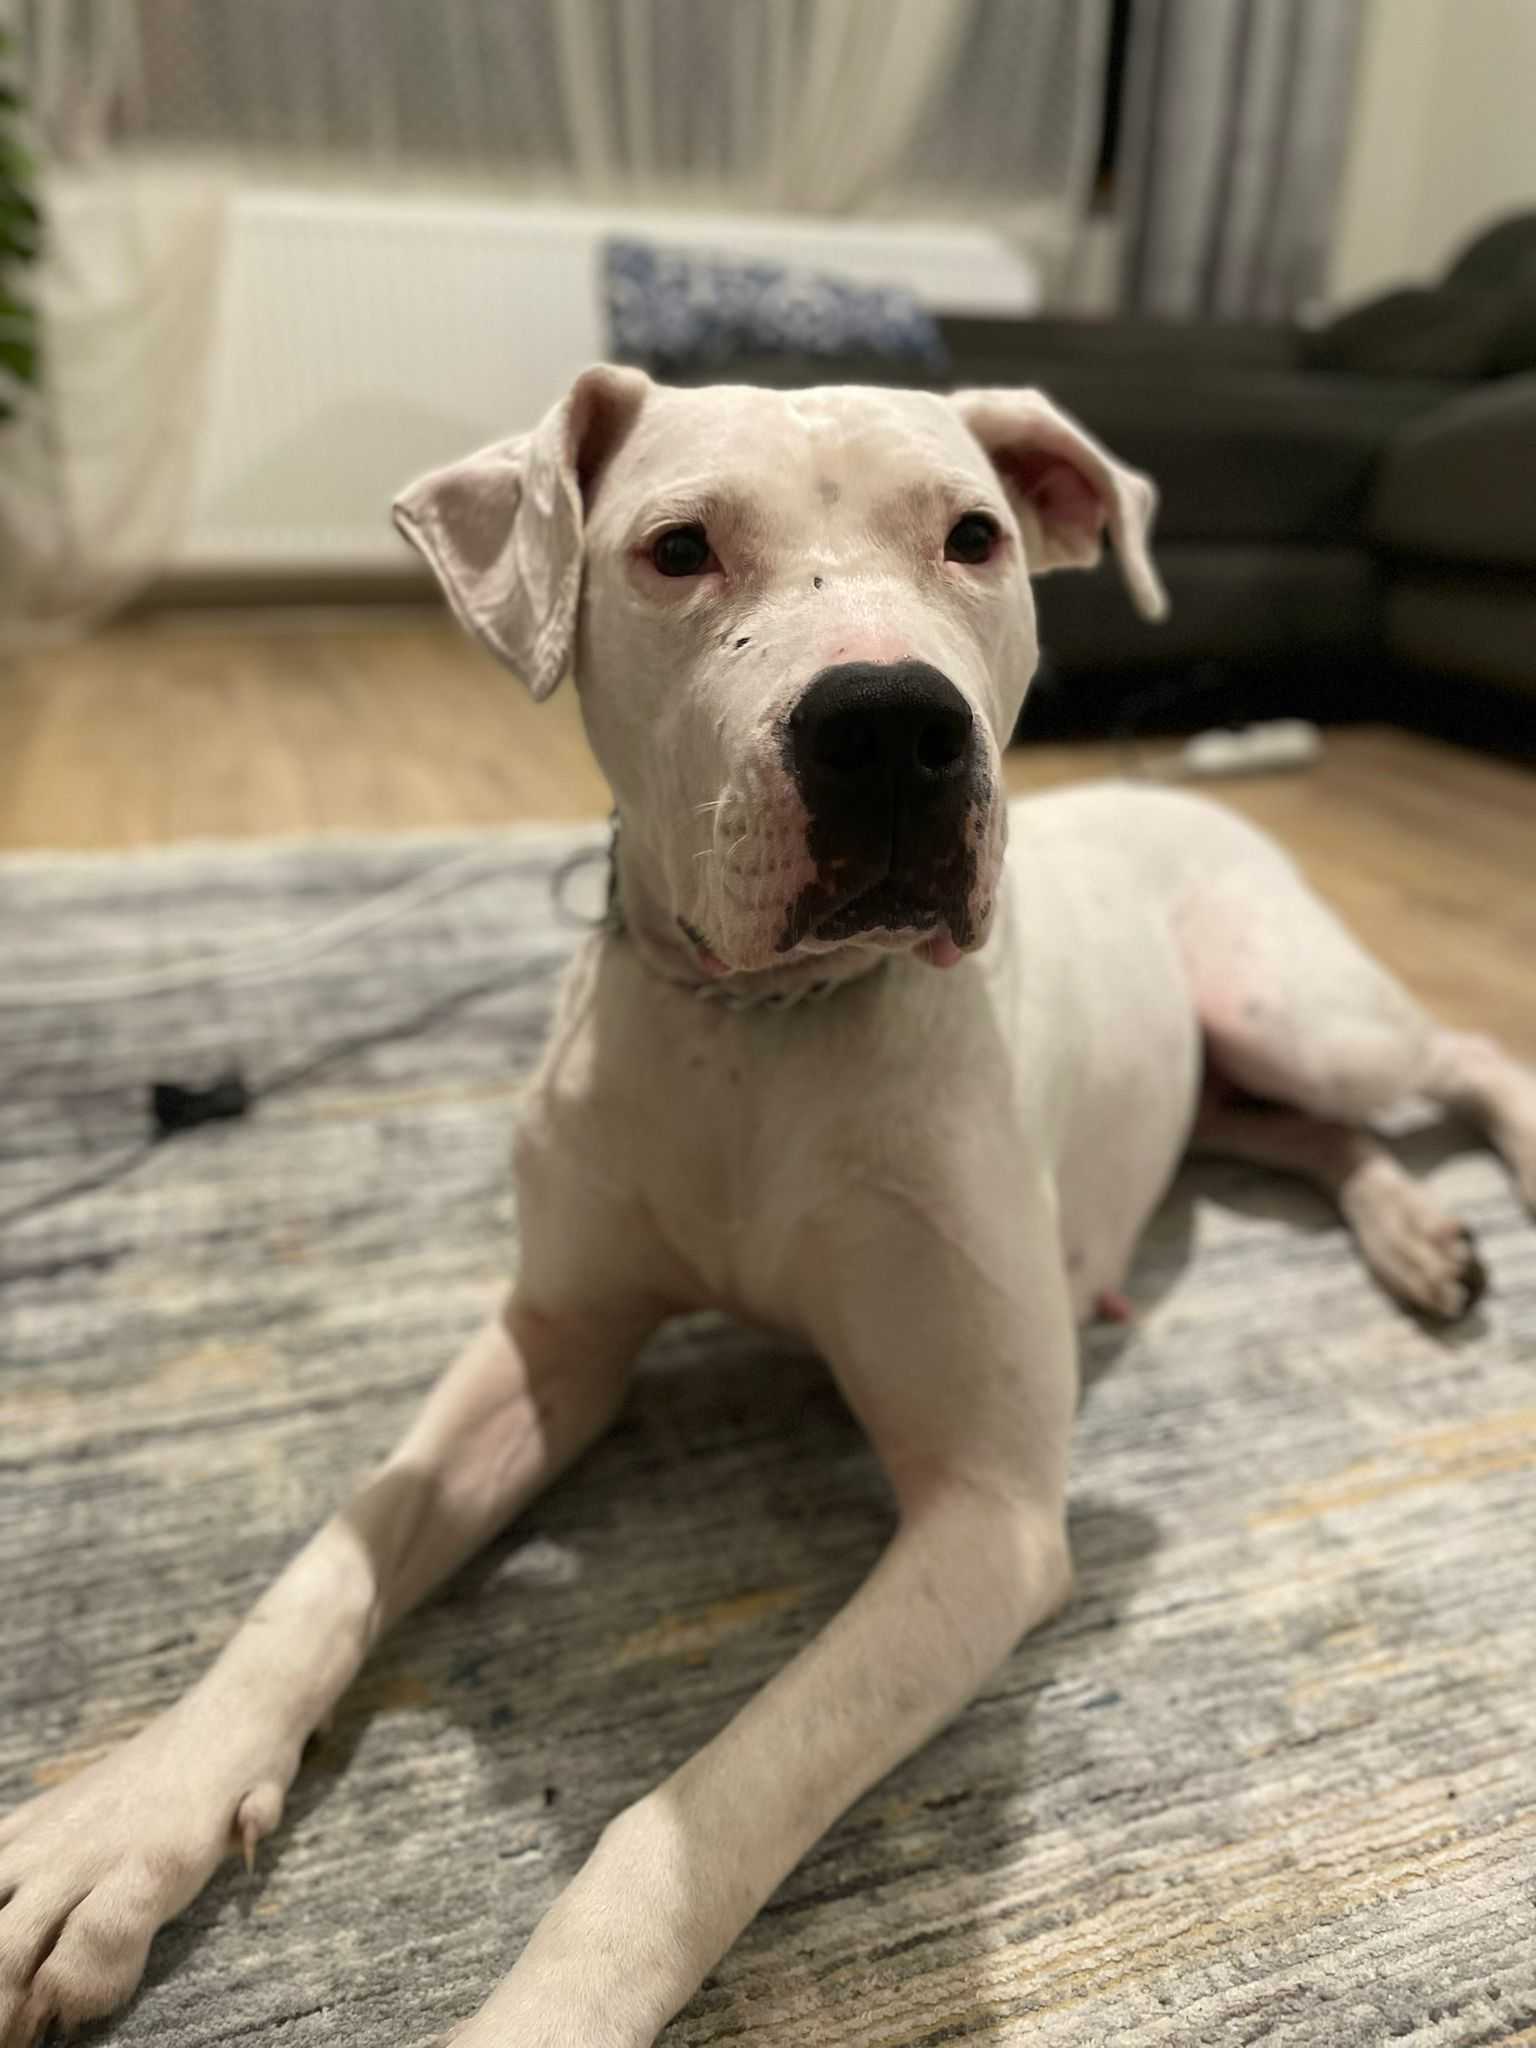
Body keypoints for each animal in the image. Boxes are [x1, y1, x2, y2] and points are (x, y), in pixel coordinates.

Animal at [3, 368, 1534, 2048]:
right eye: (678, 549)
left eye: (974, 536)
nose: (892, 729)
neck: (763, 1027)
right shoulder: (551, 1346)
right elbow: (332, 1561)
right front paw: (127, 1820)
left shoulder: (986, 1520)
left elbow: (695, 1816)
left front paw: (547, 2010)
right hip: (1238, 1063)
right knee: (1303, 1133)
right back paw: (1415, 1235)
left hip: (1292, 1005)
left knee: (1461, 1056)